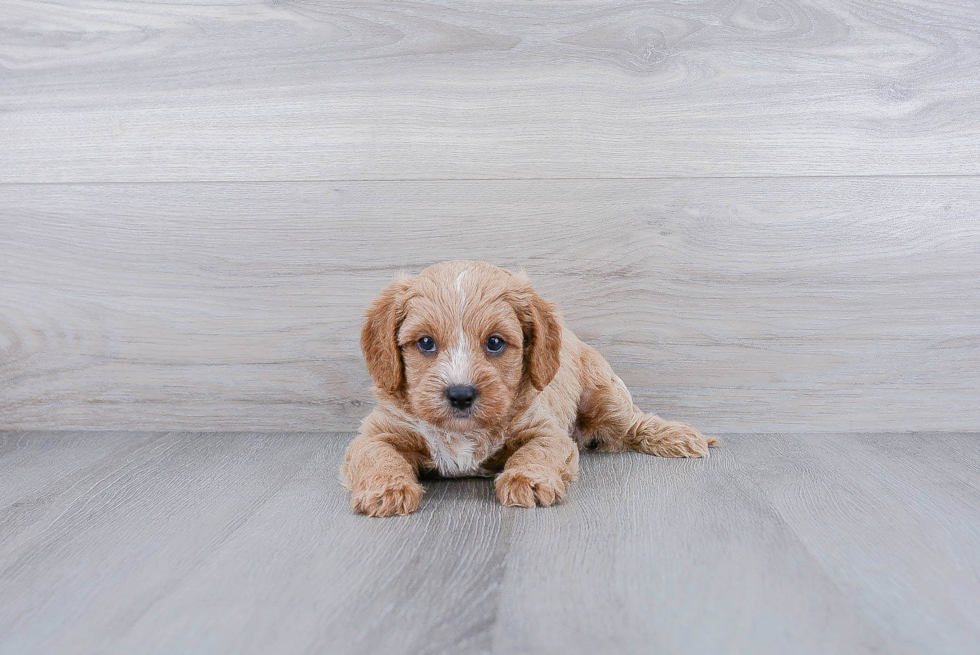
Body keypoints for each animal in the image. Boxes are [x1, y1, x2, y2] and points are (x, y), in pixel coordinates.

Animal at [340, 262, 716, 516]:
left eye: (495, 343)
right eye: (425, 343)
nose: (460, 394)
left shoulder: (547, 430)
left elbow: (537, 451)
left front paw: (528, 481)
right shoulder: (378, 432)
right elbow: (378, 455)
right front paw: (387, 488)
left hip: (606, 397)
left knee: (634, 421)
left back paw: (679, 436)